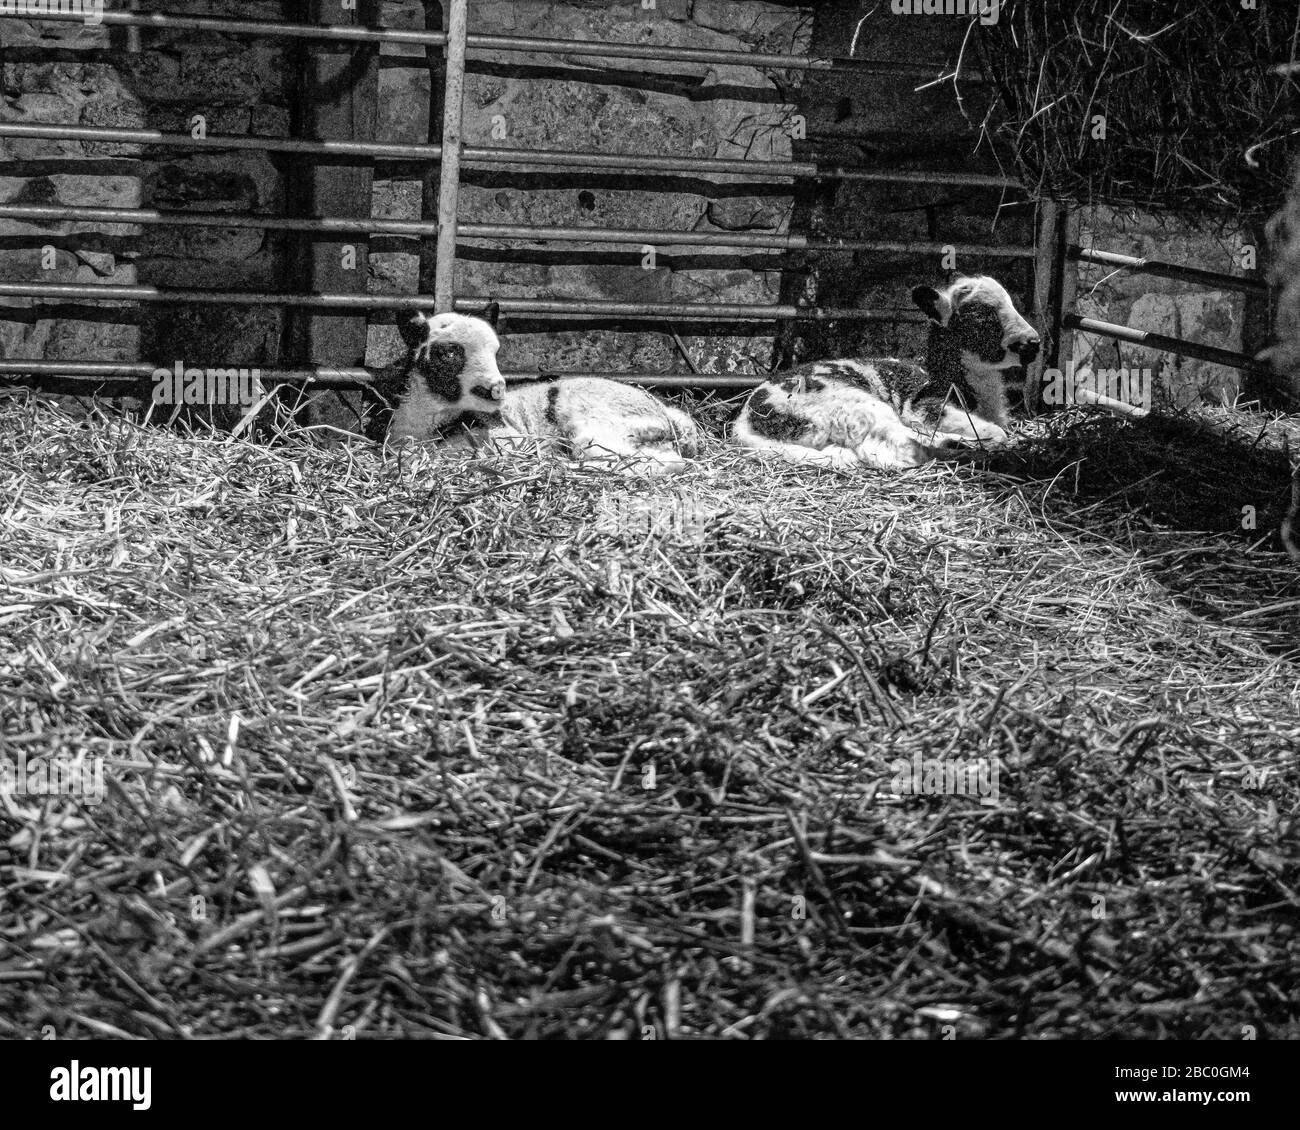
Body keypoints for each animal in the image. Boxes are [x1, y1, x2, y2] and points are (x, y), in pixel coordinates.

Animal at [382, 304, 702, 470]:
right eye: (448, 353)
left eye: (495, 352)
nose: (496, 389)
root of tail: (668, 418)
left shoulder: (508, 439)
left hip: (597, 427)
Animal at [733, 275, 1045, 470]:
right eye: (981, 317)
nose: (1033, 343)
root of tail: (746, 421)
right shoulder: (925, 408)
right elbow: (996, 432)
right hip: (854, 405)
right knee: (902, 447)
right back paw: (960, 447)